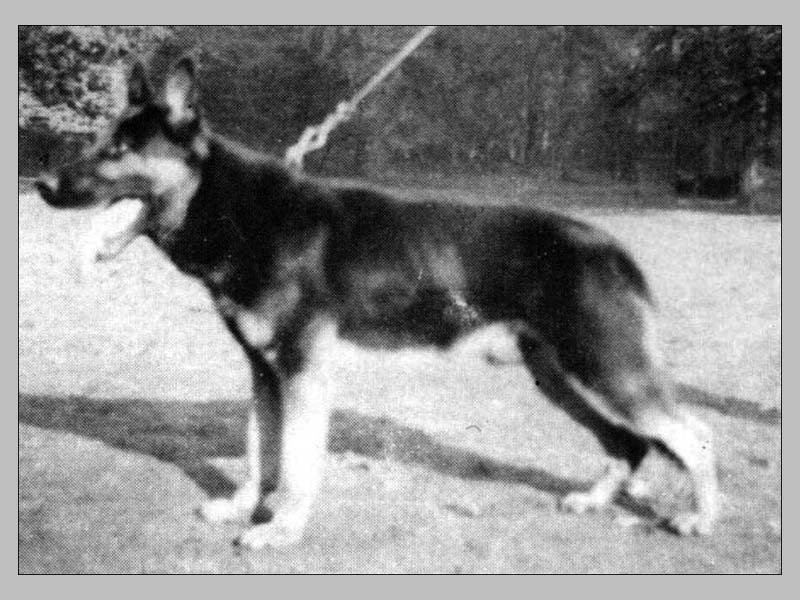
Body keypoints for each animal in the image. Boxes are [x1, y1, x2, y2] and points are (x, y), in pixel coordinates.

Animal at [36, 57, 718, 548]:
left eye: (119, 151)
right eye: (98, 142)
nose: (41, 185)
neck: (237, 212)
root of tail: (615, 249)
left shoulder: (304, 375)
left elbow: (297, 463)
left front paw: (283, 528)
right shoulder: (264, 375)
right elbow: (260, 452)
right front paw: (245, 507)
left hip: (608, 373)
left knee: (696, 439)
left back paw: (700, 520)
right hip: (561, 377)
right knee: (629, 444)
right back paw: (594, 501)